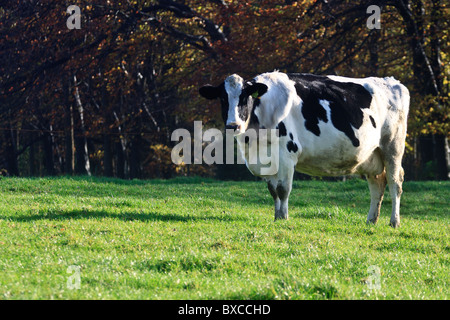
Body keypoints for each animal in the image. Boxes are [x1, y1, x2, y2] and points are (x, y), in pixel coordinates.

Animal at [200, 72, 408, 228]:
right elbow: (273, 190)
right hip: (371, 155)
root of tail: (393, 82)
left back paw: (394, 222)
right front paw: (276, 216)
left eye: (245, 97)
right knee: (377, 184)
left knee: (395, 183)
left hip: (392, 147)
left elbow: (283, 189)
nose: (233, 125)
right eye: (223, 98)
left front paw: (283, 218)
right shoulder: (268, 159)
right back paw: (371, 220)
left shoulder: (286, 154)